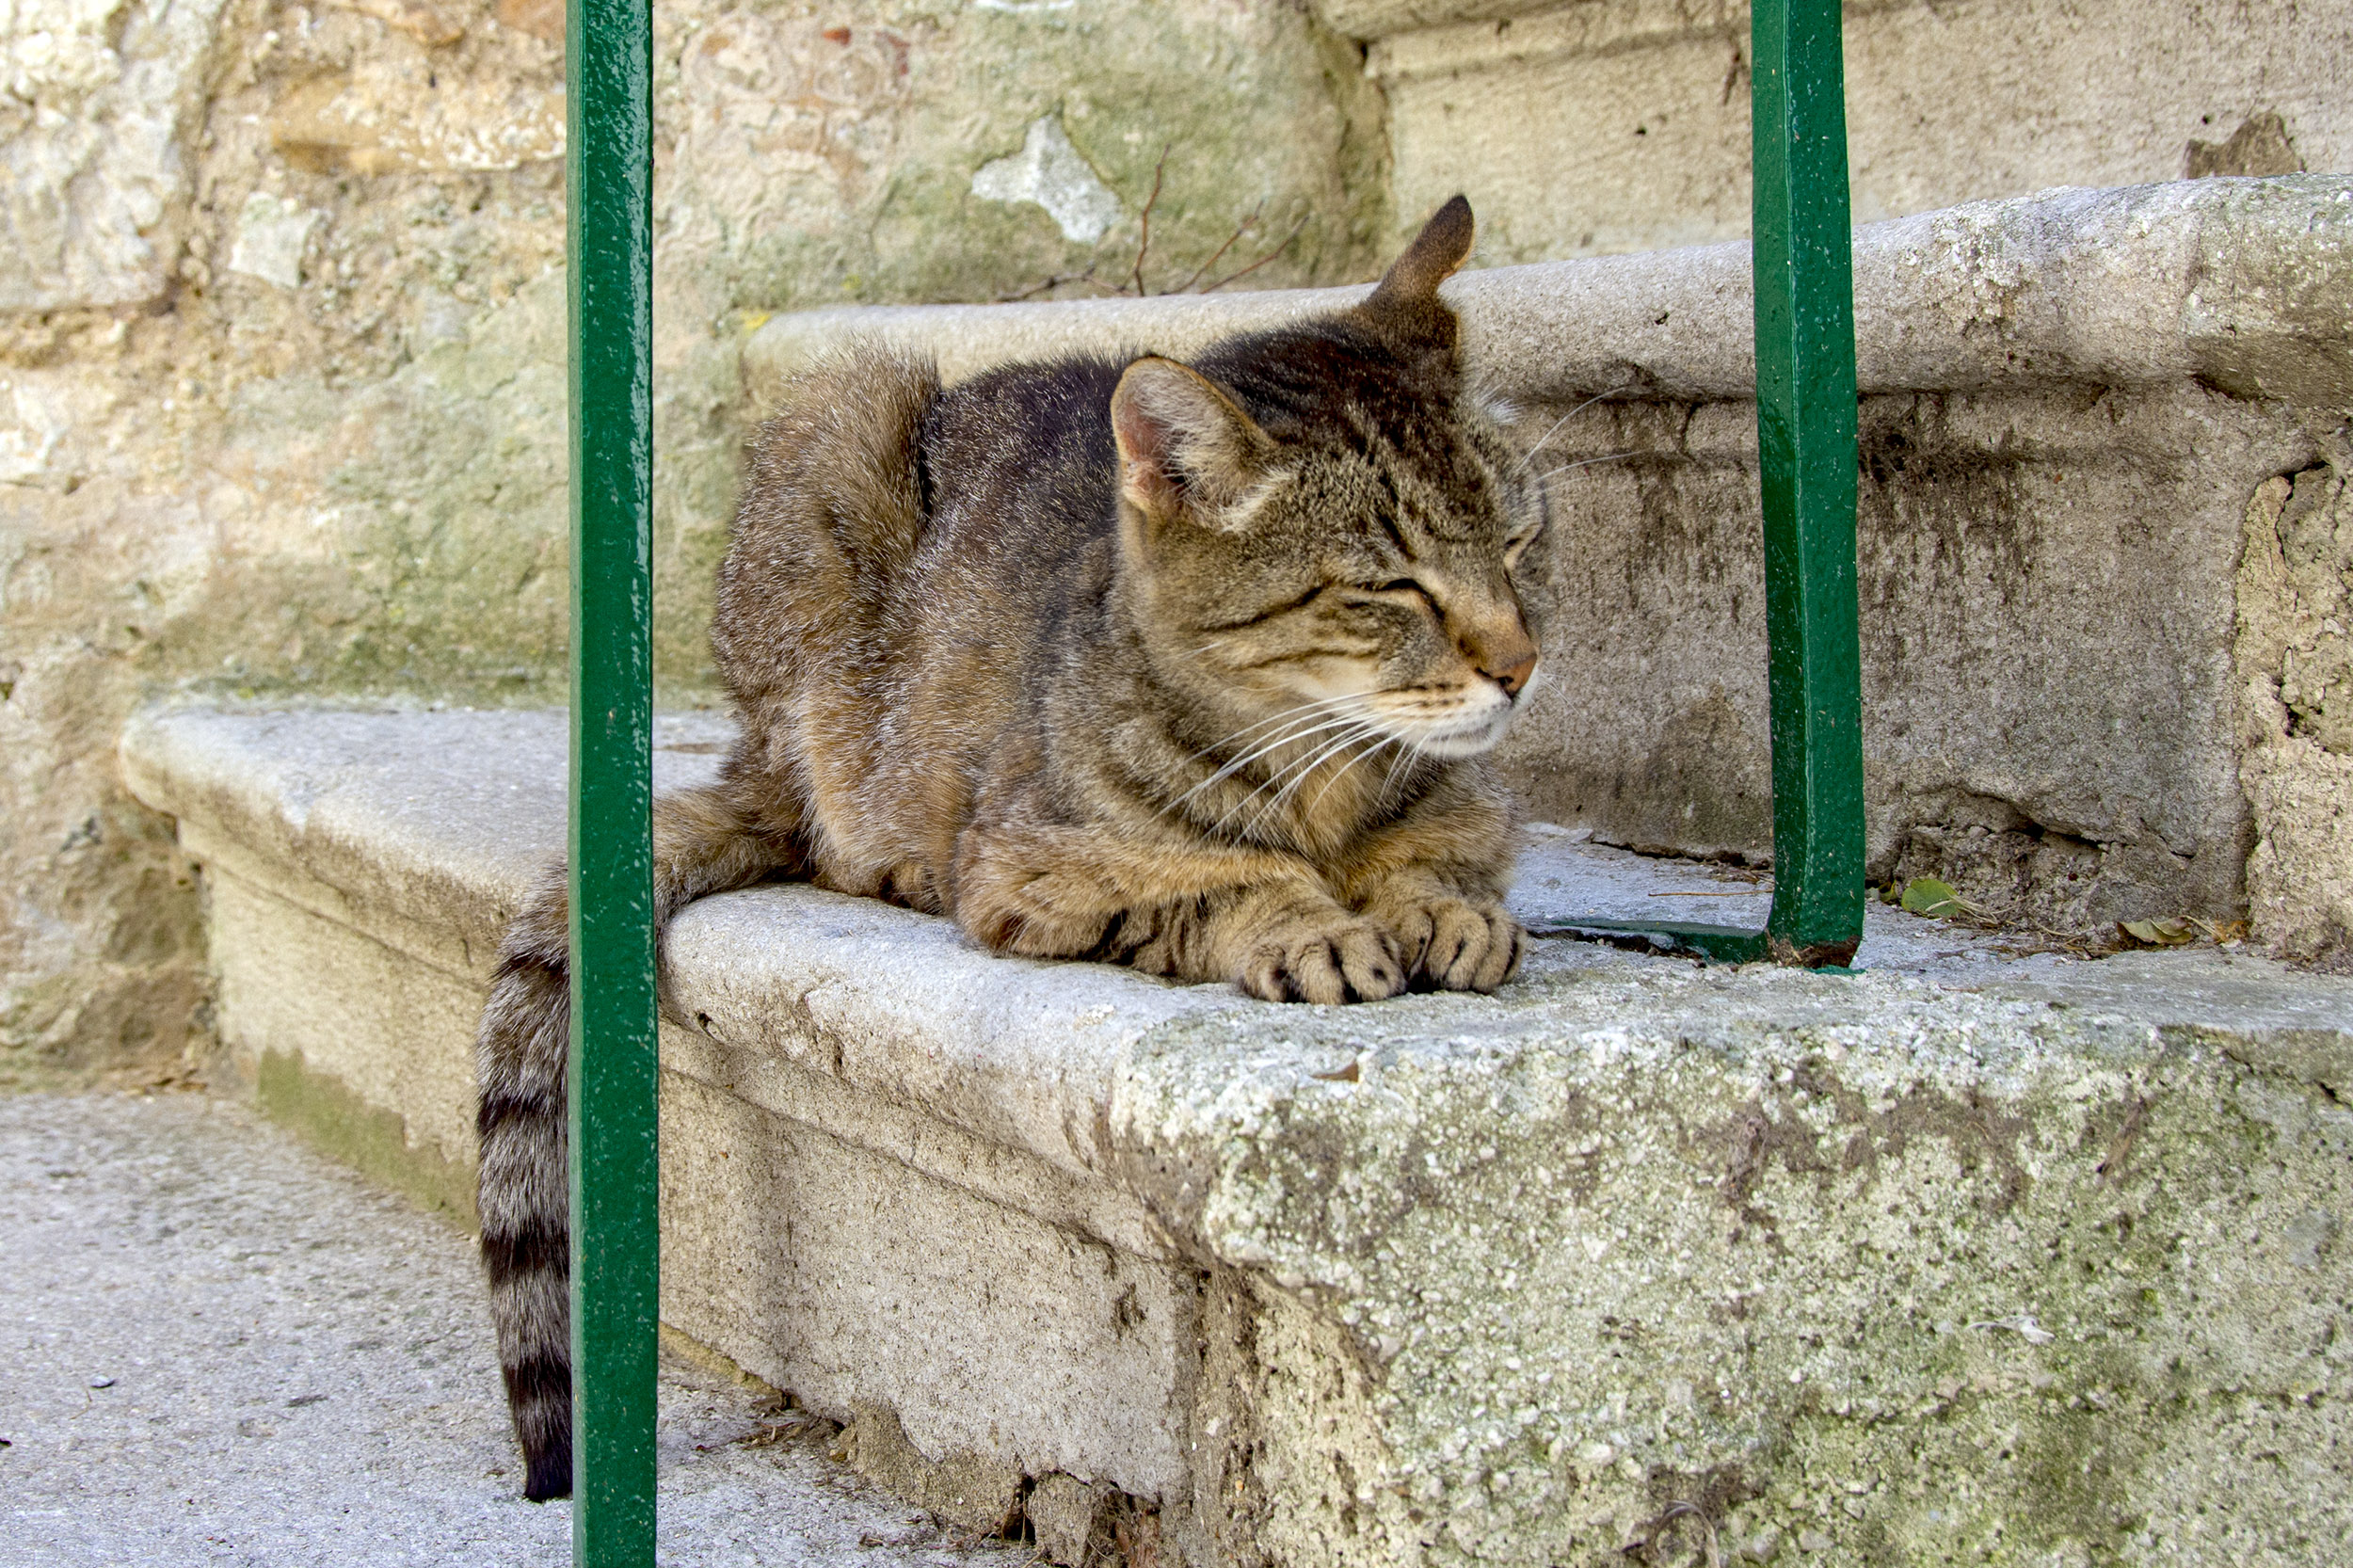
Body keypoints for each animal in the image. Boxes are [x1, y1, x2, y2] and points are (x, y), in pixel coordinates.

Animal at [475, 195, 1544, 1487]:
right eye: (1393, 590)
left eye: (1521, 544)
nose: (1521, 664)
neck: (1323, 774)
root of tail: (751, 746)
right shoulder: (1027, 867)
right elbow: (1213, 880)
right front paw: (1304, 921)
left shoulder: (1472, 805)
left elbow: (1442, 849)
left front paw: (1442, 905)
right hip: (839, 443)